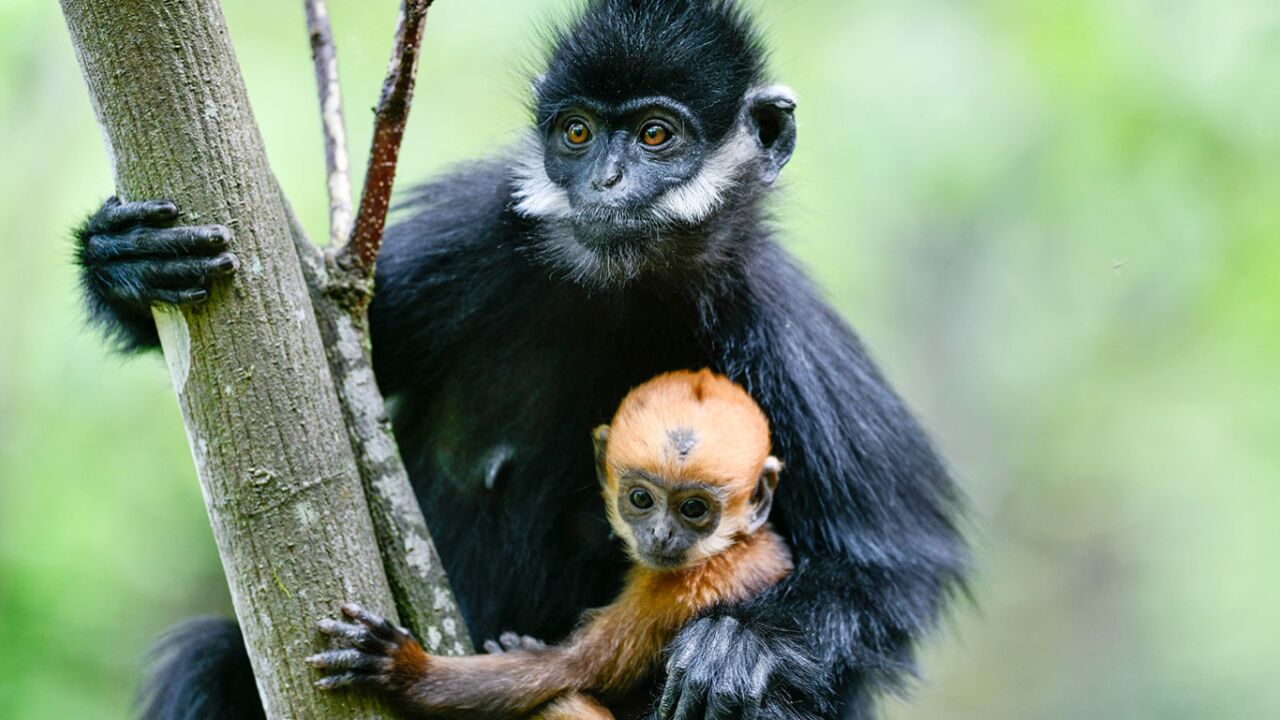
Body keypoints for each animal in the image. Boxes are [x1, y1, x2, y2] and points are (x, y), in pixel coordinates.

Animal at [309, 368, 788, 717]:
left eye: (693, 509)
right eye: (641, 499)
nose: (662, 534)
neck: (733, 546)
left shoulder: (673, 590)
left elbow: (565, 672)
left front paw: (405, 668)